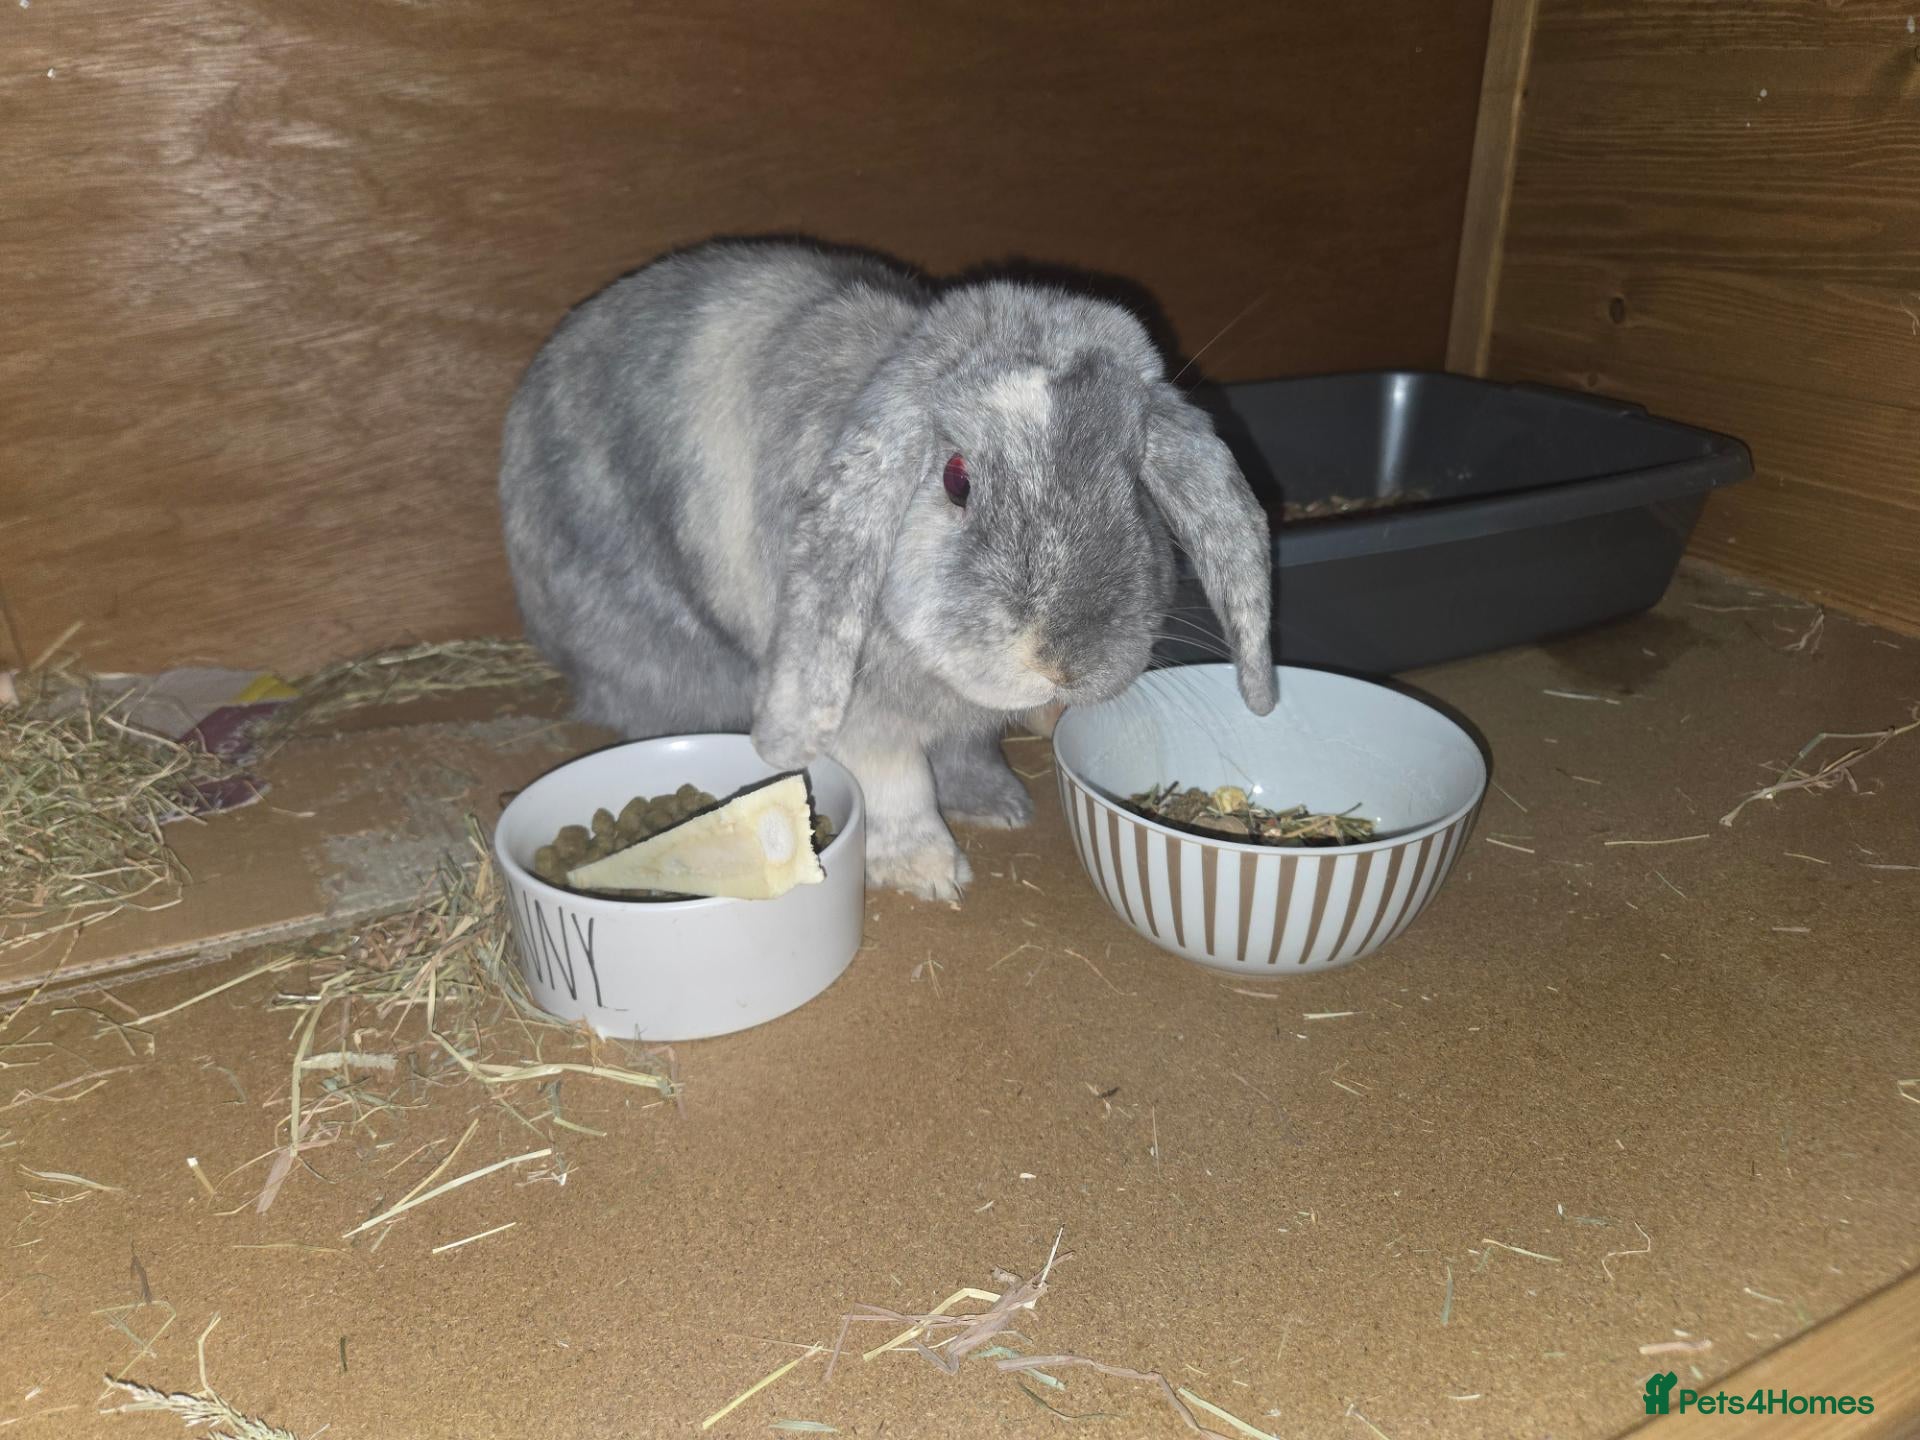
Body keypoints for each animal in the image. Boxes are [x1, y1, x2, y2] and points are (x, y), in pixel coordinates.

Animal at [498, 237, 1275, 901]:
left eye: (1134, 481)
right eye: (957, 479)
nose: (1065, 665)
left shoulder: (964, 717)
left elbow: (967, 750)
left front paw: (999, 805)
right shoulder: (859, 711)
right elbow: (895, 785)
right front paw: (932, 874)